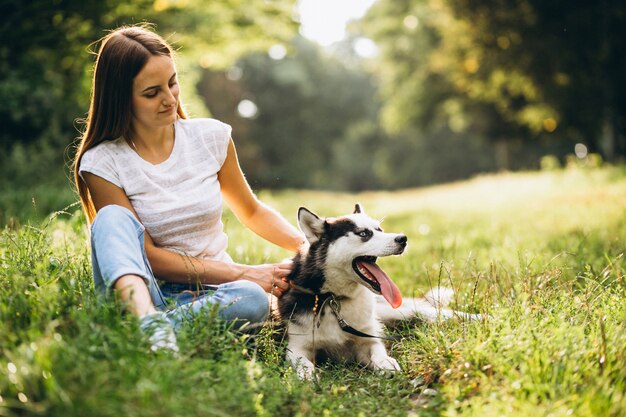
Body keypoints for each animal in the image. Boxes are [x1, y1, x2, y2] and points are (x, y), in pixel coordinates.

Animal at [278, 203, 478, 378]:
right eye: (364, 233)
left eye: (379, 230)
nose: (403, 238)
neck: (335, 299)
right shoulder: (297, 347)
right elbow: (302, 362)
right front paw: (307, 374)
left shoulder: (366, 339)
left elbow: (377, 348)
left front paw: (384, 362)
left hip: (398, 312)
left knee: (433, 312)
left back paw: (479, 317)